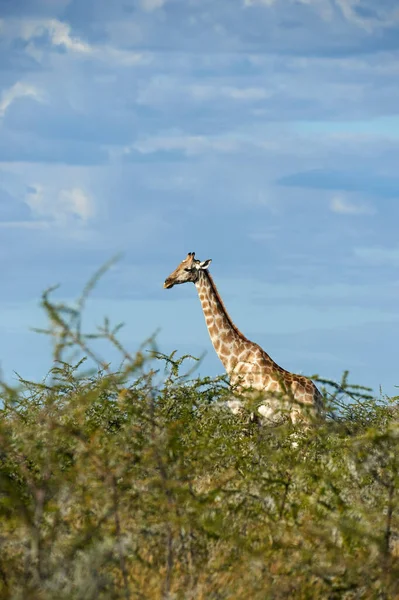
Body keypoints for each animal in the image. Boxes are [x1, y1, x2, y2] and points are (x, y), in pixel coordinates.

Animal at [164, 253, 324, 426]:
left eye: (187, 268)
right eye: (178, 264)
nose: (167, 281)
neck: (233, 357)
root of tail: (320, 400)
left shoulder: (242, 410)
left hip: (303, 421)